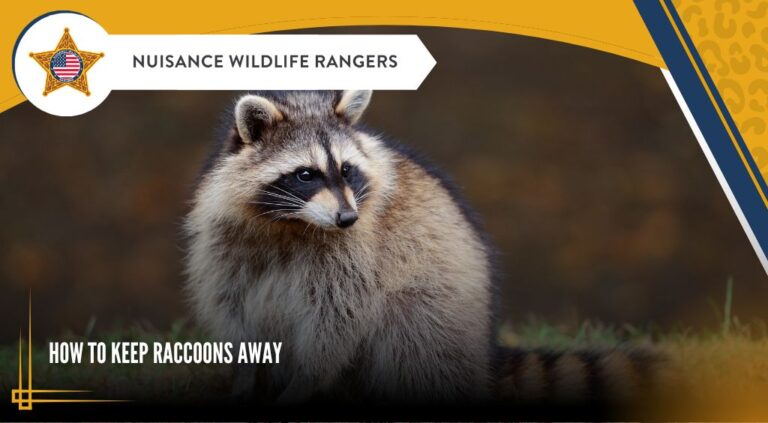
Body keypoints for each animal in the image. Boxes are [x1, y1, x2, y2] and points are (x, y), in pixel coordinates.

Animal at [184, 90, 661, 405]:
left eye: (346, 169)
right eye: (305, 174)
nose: (347, 218)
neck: (291, 223)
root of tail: (482, 356)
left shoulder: (357, 252)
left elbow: (336, 320)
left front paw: (302, 385)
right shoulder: (225, 239)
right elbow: (233, 308)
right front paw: (245, 379)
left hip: (441, 310)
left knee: (409, 326)